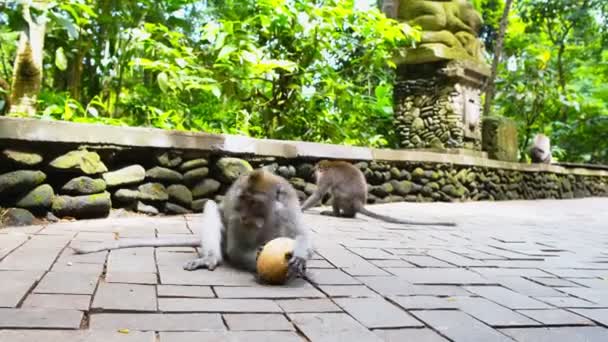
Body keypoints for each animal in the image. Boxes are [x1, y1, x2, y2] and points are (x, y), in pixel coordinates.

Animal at [72, 168, 314, 278]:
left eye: (253, 202)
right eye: (242, 200)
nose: (244, 215)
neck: (267, 215)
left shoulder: (289, 206)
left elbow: (304, 235)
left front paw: (301, 255)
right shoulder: (236, 217)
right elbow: (236, 250)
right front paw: (255, 257)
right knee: (212, 208)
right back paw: (210, 258)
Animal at [300, 160, 456, 227]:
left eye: (315, 171)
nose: (313, 174)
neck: (328, 167)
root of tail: (359, 202)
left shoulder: (326, 177)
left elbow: (319, 194)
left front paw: (301, 208)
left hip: (345, 199)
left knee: (335, 194)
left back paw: (337, 214)